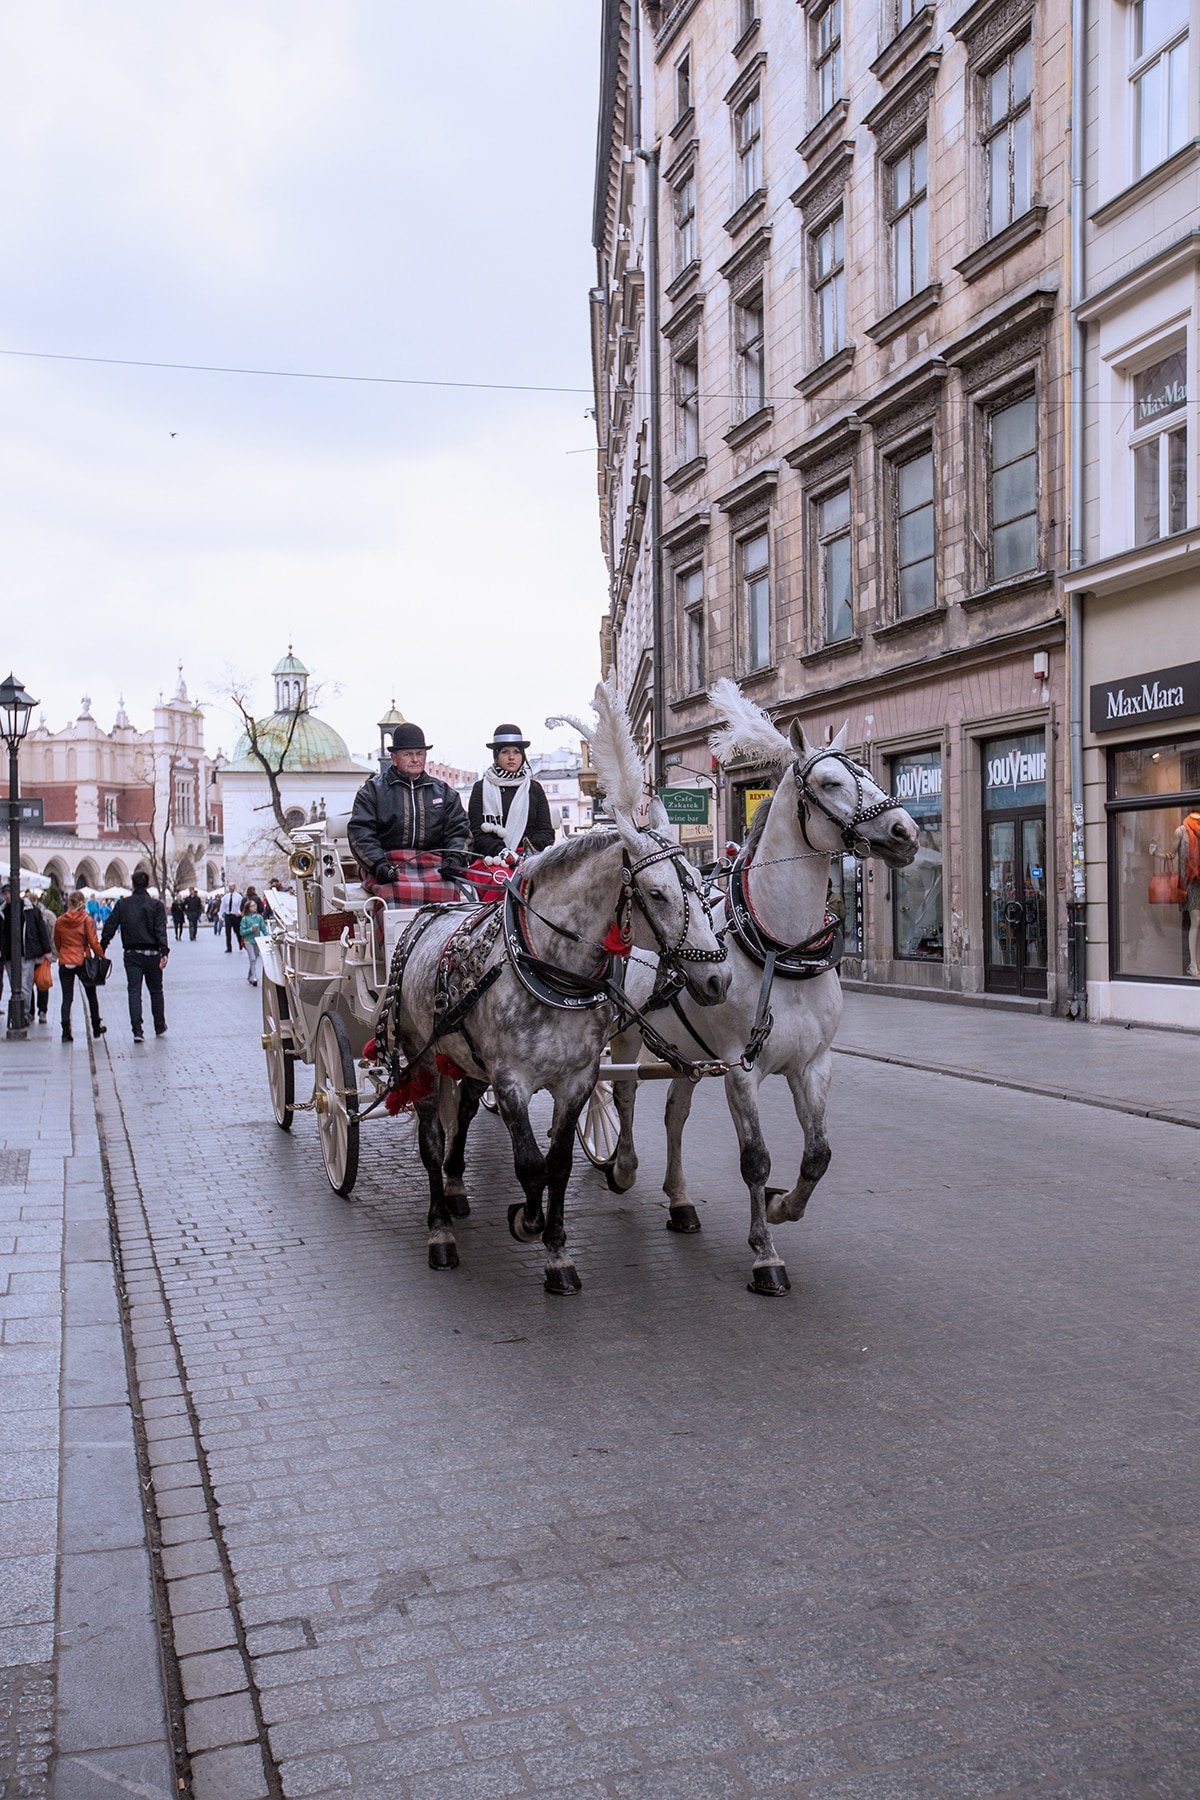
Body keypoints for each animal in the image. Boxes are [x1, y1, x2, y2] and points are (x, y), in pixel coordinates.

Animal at [385, 684, 726, 1296]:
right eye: (658, 894)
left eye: (700, 883)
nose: (717, 978)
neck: (549, 968)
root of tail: (430, 913)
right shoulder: (512, 1081)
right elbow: (528, 1163)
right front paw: (527, 1219)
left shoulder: (576, 1081)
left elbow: (559, 1165)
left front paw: (558, 1253)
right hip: (420, 1057)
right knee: (429, 1140)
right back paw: (441, 1231)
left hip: (459, 1057)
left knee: (460, 1114)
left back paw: (456, 1188)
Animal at [611, 684, 921, 1296]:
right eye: (830, 783)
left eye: (868, 773)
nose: (905, 832)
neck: (780, 947)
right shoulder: (741, 1068)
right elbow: (755, 1158)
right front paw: (765, 1255)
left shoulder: (812, 1064)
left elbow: (818, 1154)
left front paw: (782, 1208)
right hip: (626, 1037)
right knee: (622, 1094)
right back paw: (621, 1165)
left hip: (686, 1051)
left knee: (674, 1114)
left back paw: (680, 1201)